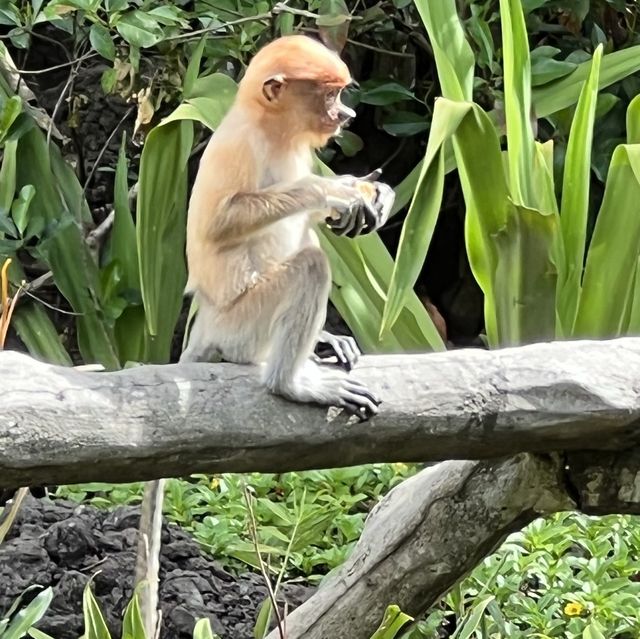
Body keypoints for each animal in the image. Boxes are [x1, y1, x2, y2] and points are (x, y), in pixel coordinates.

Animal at [135, 35, 396, 636]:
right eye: (330, 93)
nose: (347, 116)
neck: (271, 127)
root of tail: (207, 320)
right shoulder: (238, 147)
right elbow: (223, 221)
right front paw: (341, 192)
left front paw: (371, 195)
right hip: (242, 323)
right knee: (308, 266)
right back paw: (293, 382)